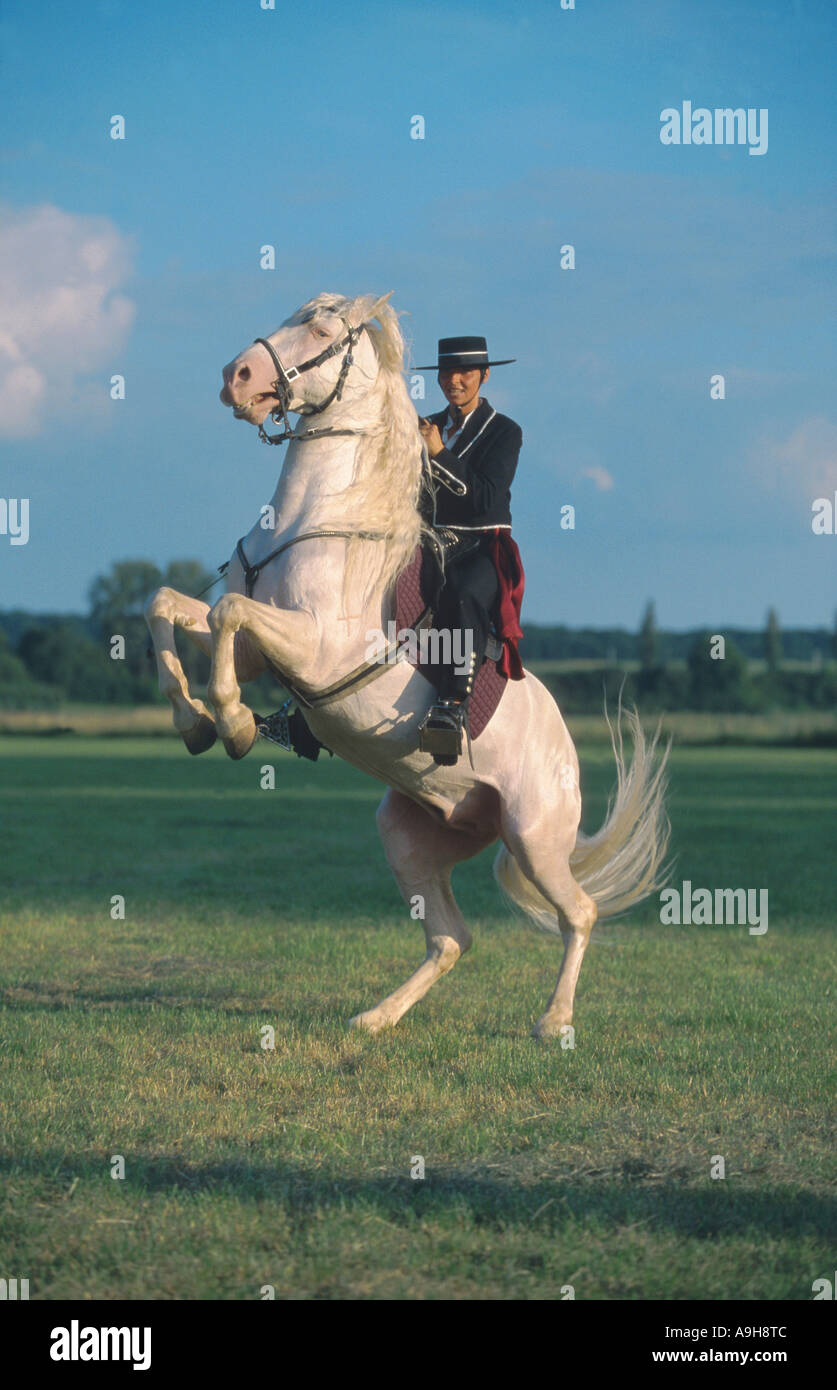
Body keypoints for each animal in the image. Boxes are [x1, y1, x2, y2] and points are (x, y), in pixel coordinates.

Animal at [144, 290, 669, 1039]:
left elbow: (226, 616)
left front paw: (236, 725)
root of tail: (564, 750)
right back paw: (375, 1018)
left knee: (579, 913)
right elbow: (170, 607)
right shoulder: (257, 650)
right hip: (414, 835)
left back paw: (553, 1022)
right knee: (452, 938)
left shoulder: (314, 647)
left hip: (534, 837)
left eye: (322, 330)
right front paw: (195, 723)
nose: (236, 377)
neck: (309, 522)